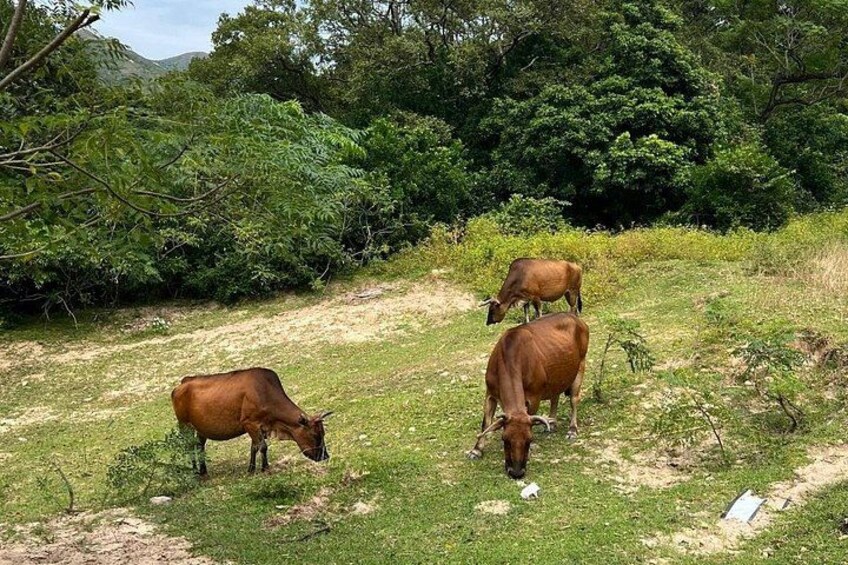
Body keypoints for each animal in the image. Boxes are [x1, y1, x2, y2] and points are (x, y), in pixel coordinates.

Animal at [171, 367, 331, 476]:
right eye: (316, 435)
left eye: (323, 433)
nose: (325, 456)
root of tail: (184, 381)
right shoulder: (249, 423)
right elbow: (263, 446)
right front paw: (264, 468)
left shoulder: (258, 427)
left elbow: (254, 447)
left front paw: (252, 468)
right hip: (184, 424)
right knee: (188, 445)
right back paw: (194, 470)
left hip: (201, 428)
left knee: (199, 446)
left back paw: (203, 470)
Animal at [467, 313, 589, 479]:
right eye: (505, 439)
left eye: (529, 440)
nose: (516, 472)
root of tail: (576, 319)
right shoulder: (490, 393)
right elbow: (486, 423)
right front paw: (476, 450)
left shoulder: (533, 398)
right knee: (555, 396)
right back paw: (551, 423)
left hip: (580, 366)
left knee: (574, 400)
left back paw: (572, 429)